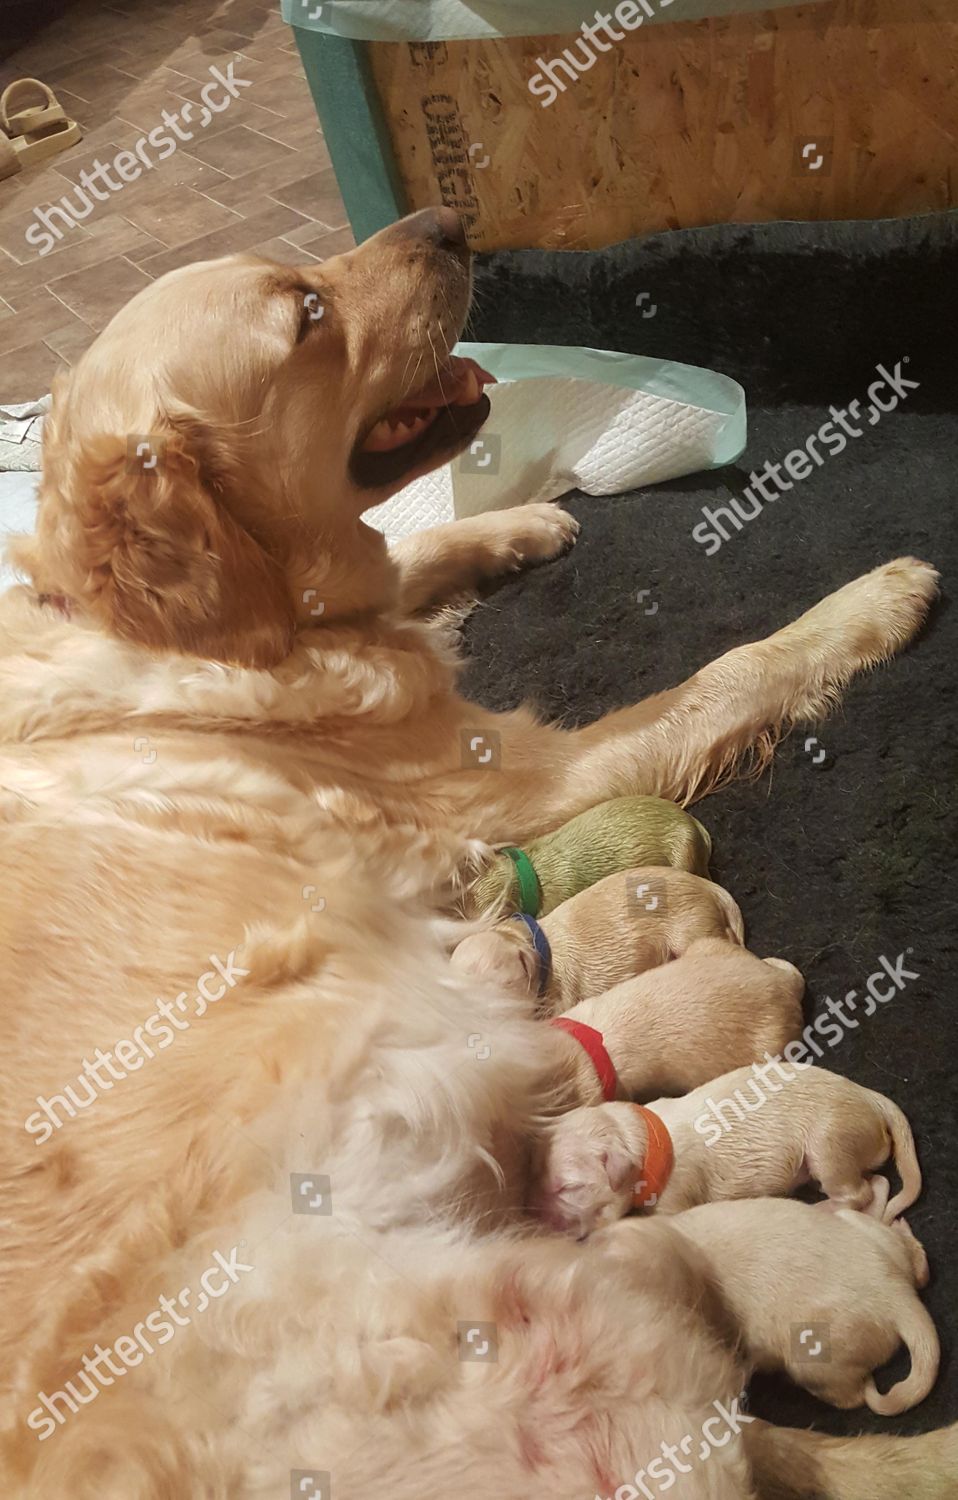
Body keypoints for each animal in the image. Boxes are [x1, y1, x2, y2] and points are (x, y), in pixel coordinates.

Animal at [539, 1062, 923, 1236]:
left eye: (569, 1187)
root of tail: (870, 1098)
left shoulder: (676, 1196)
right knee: (879, 1184)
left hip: (829, 1144)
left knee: (857, 1192)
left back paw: (820, 1208)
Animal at [665, 1194, 935, 1416]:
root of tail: (896, 1293)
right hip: (858, 1225)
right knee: (916, 1268)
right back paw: (902, 1231)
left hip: (809, 1357)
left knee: (854, 1397)